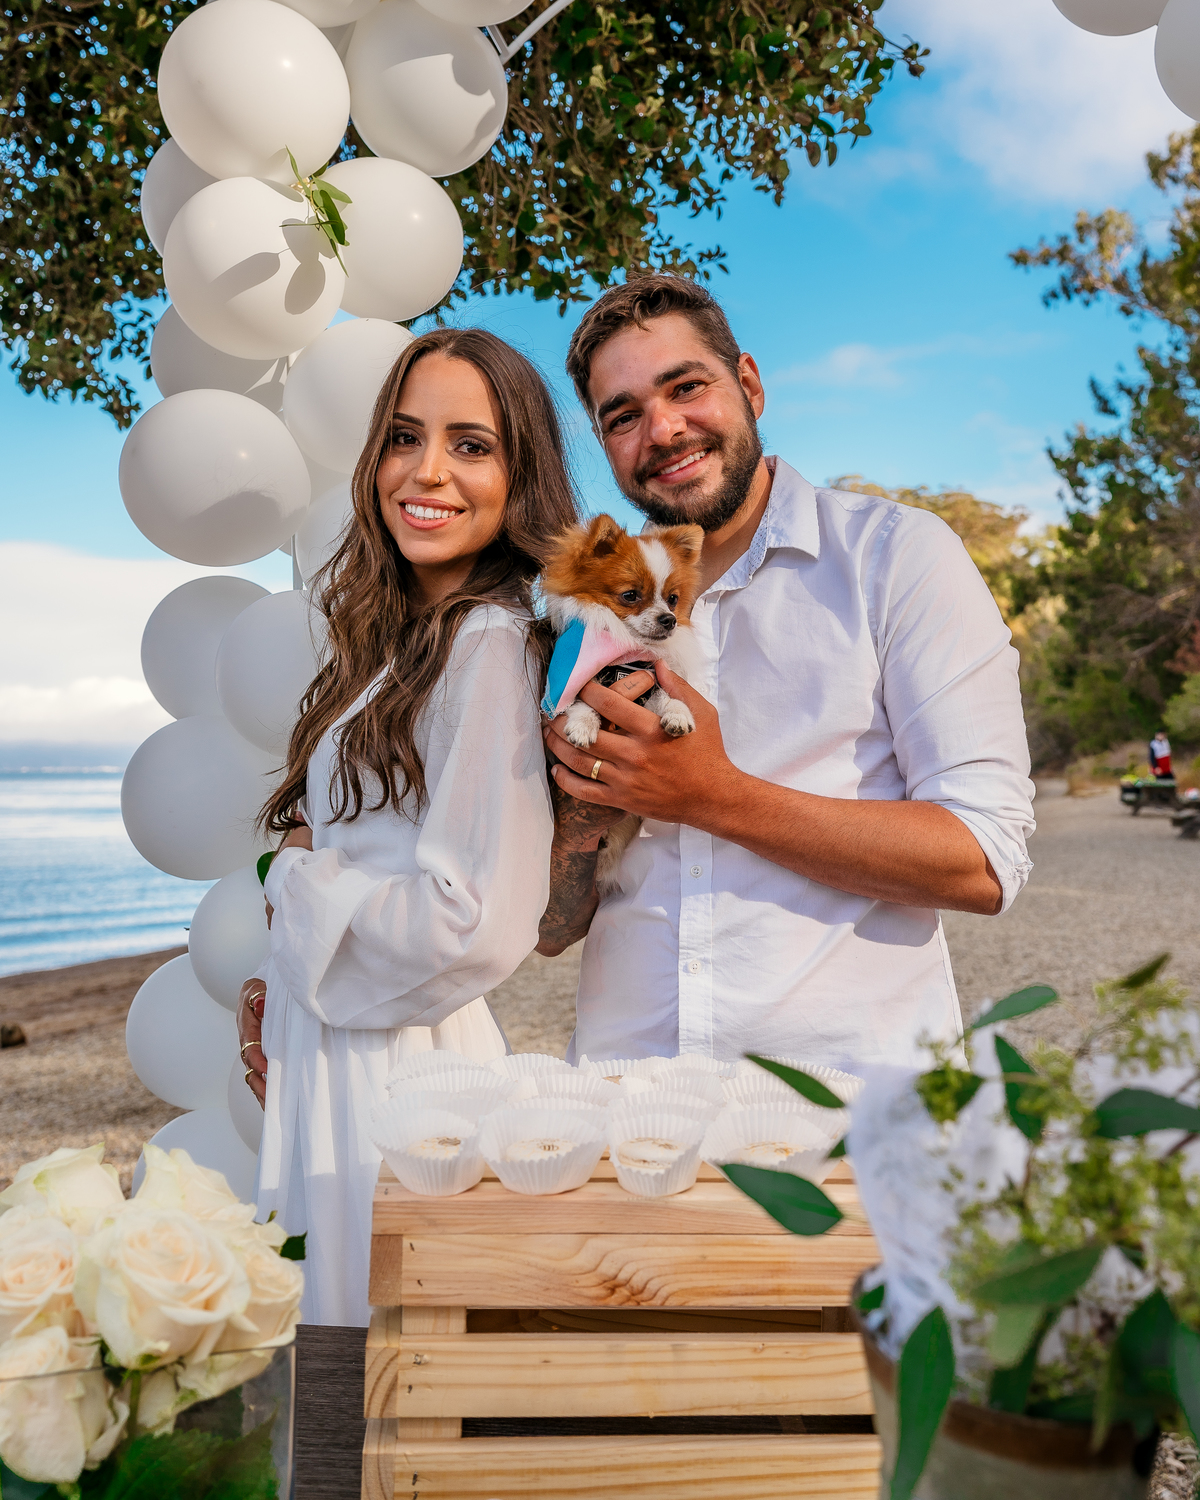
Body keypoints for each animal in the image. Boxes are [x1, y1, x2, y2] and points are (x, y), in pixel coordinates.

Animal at [541, 513, 705, 891]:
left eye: (672, 599)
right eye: (630, 595)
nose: (668, 620)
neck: (627, 656)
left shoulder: (653, 684)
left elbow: (671, 697)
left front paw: (679, 717)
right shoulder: (582, 679)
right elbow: (582, 698)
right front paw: (582, 725)